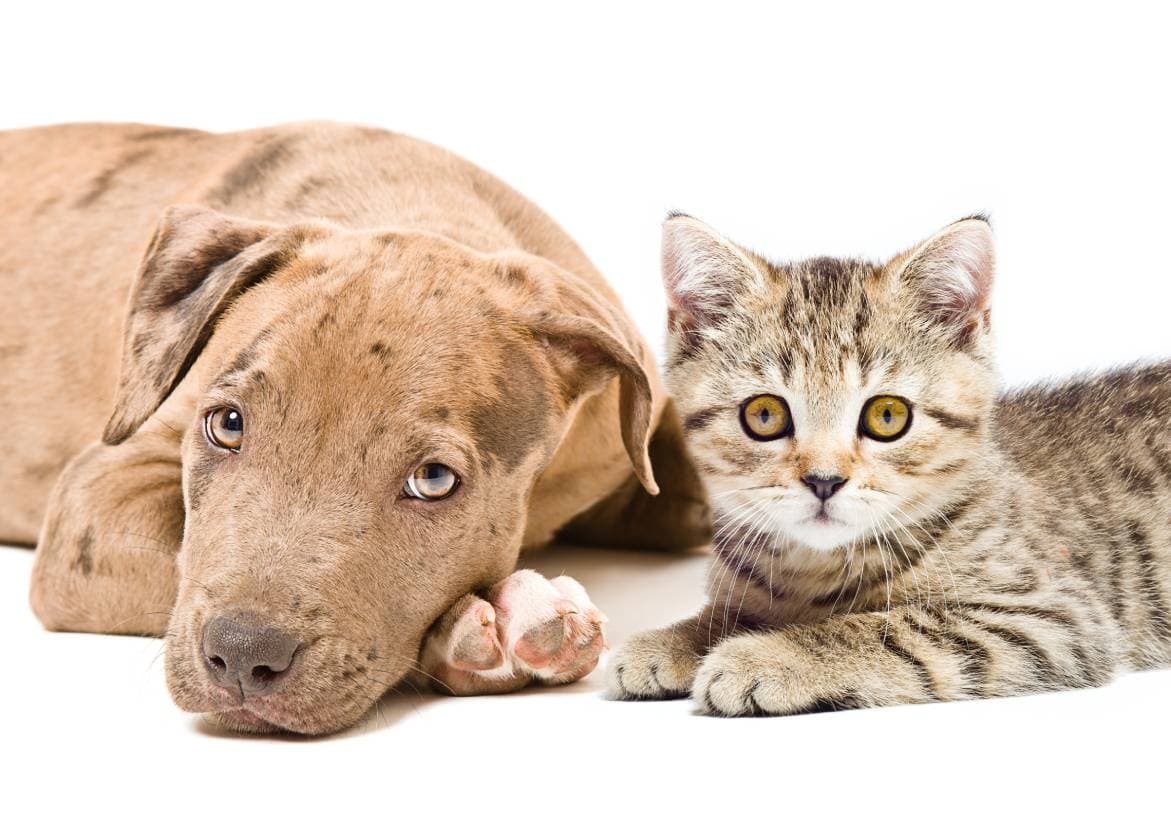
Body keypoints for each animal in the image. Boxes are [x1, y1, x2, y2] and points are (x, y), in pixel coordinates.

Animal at [0, 122, 707, 735]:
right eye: (226, 425)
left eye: (433, 479)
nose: (242, 658)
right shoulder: (98, 495)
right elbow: (174, 551)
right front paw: (493, 630)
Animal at [608, 214, 1166, 711]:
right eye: (764, 415)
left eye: (887, 415)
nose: (824, 481)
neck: (814, 570)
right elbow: (727, 612)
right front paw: (677, 637)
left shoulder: (1052, 616)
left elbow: (890, 628)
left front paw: (769, 655)